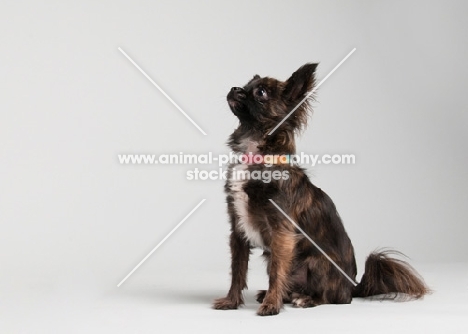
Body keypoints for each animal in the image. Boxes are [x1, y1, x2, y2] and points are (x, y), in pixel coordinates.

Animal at [214, 63, 430, 316]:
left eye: (261, 93)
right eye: (246, 85)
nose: (235, 88)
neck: (256, 152)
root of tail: (352, 286)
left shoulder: (282, 233)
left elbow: (277, 271)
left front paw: (271, 305)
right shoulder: (238, 231)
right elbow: (237, 271)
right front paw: (231, 301)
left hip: (317, 262)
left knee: (333, 297)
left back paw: (304, 299)